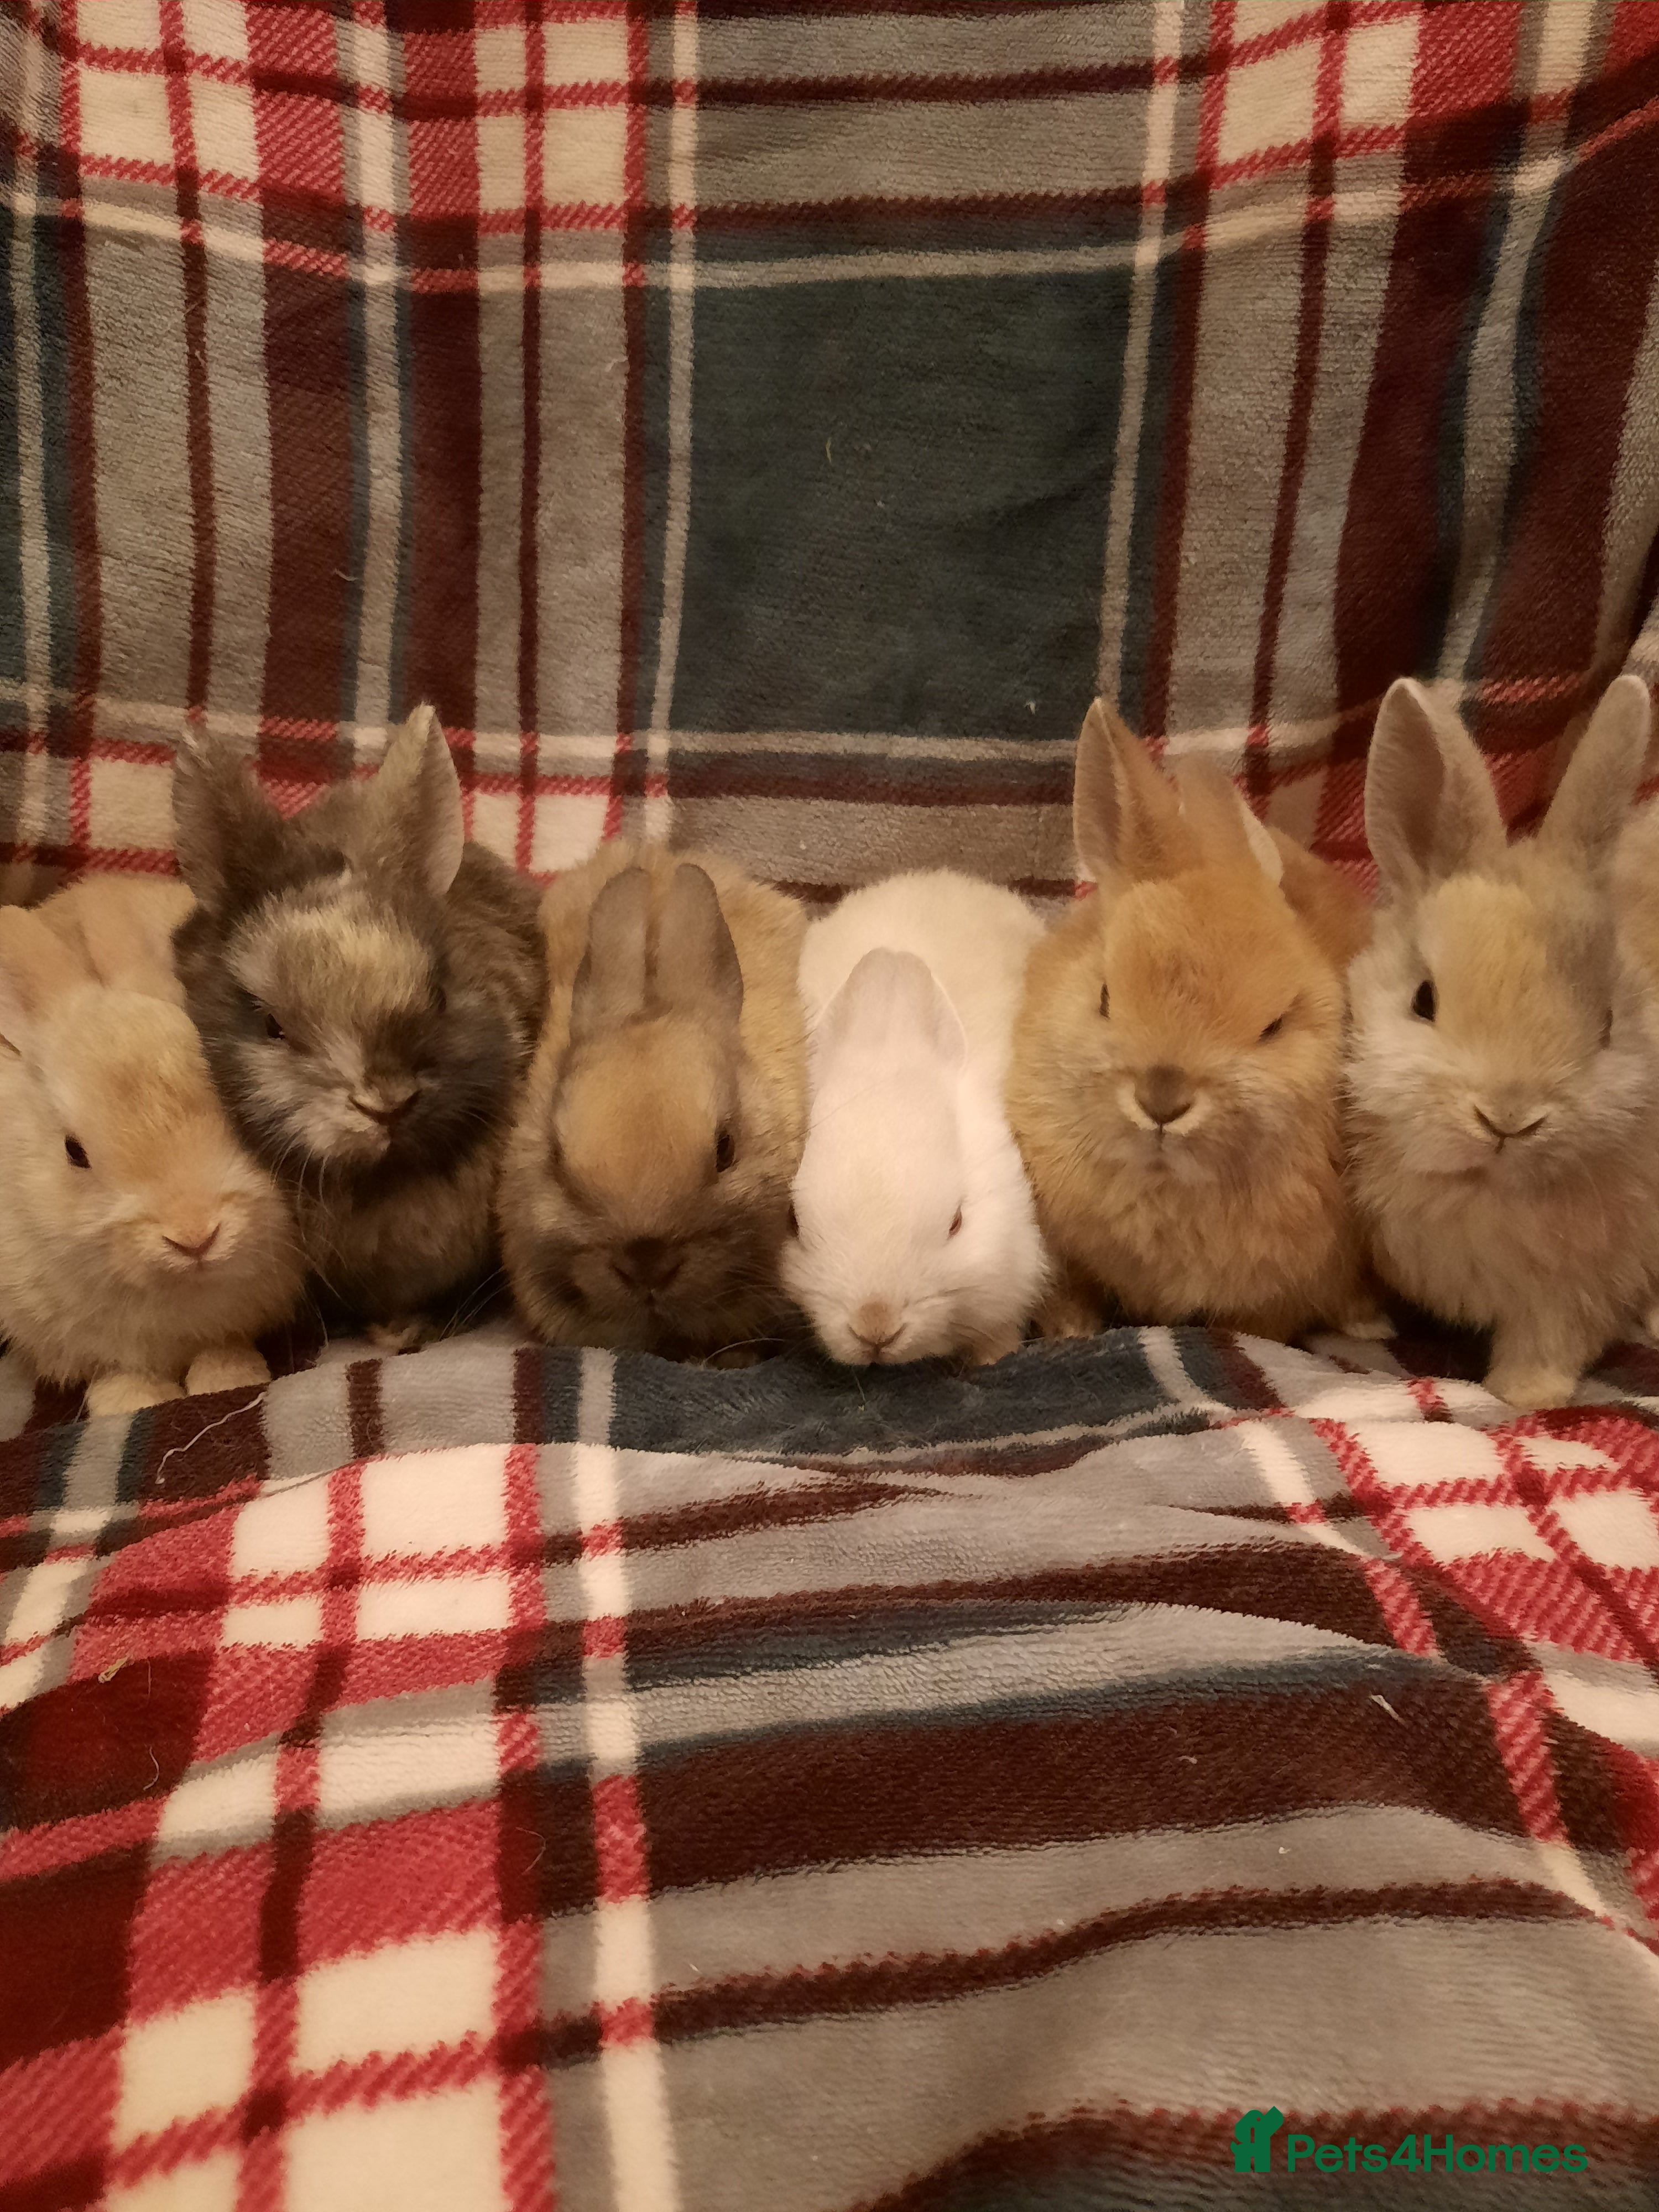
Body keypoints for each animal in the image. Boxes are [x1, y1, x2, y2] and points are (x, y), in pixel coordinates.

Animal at [0, 903, 304, 1417]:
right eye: (73, 1152)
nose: (195, 1237)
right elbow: (120, 1372)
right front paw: (131, 1403)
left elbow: (223, 1346)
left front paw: (227, 1379)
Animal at [1007, 698, 1379, 1345]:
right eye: (1105, 997)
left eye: (1274, 1026)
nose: (1162, 1099)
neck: (1166, 1184)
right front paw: (1071, 1332)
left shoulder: (1285, 1292)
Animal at [1348, 671, 1659, 1410]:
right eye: (1423, 1000)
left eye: (1608, 1024)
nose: (1508, 1117)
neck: (1481, 1189)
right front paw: (1365, 1326)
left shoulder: (1578, 1287)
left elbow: (1550, 1340)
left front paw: (1527, 1396)